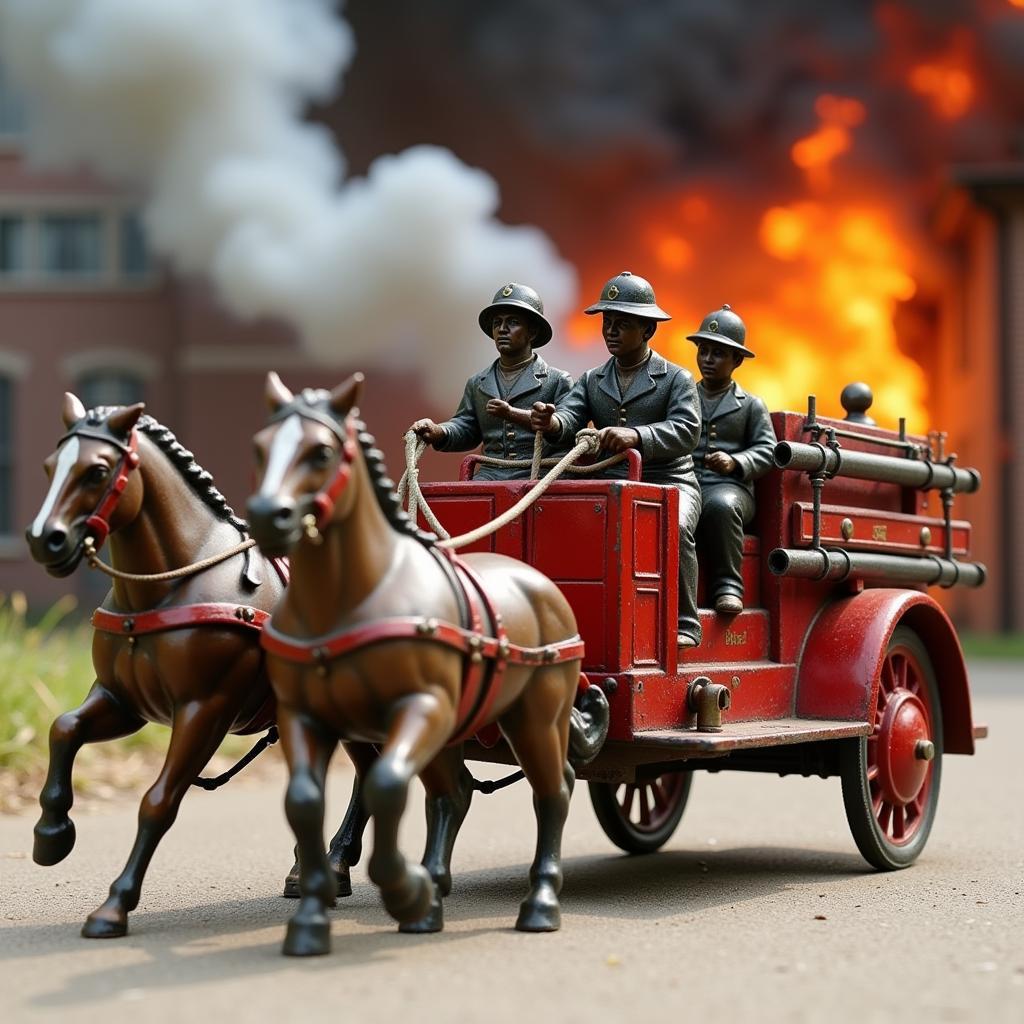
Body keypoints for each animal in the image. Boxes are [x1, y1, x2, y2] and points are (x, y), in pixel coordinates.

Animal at [24, 391, 372, 937]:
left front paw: (114, 905)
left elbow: (159, 801)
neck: (168, 586)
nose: (45, 540)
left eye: (98, 471)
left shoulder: (205, 710)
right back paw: (323, 866)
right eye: (49, 466)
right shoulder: (123, 702)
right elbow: (64, 729)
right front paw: (51, 833)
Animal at [246, 376, 598, 958]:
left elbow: (388, 786)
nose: (267, 517)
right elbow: (304, 801)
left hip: (536, 717)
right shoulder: (305, 717)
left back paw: (540, 902)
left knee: (555, 789)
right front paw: (313, 918)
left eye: (321, 452)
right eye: (260, 447)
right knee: (453, 792)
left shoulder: (421, 709)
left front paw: (402, 889)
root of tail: (539, 584)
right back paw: (433, 893)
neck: (352, 599)